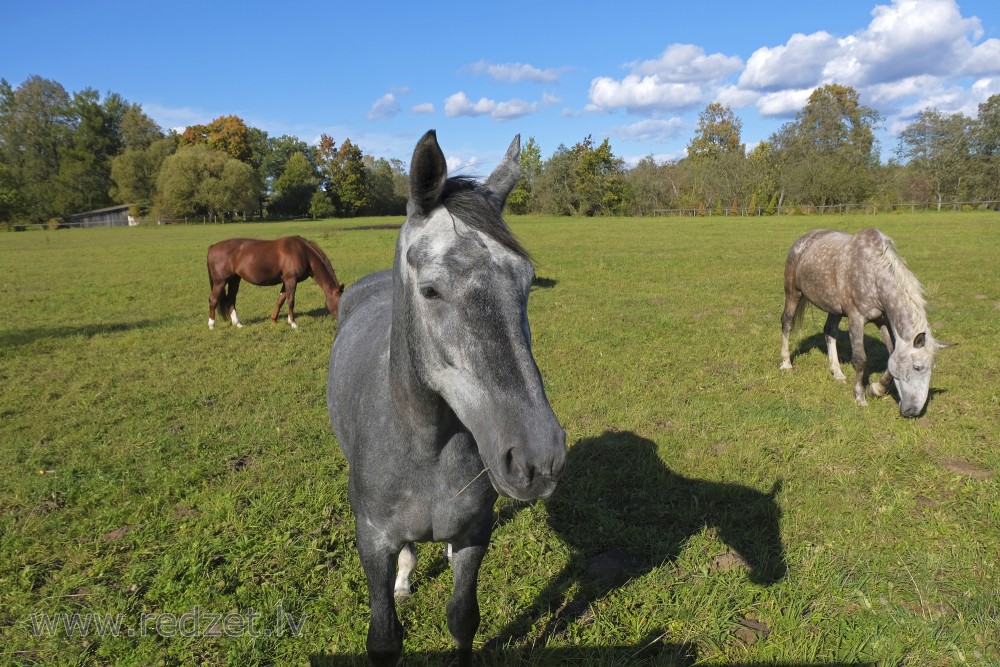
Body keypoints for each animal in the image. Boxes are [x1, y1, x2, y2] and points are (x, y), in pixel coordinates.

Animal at [206, 236, 344, 330]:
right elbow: (290, 301)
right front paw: (293, 323)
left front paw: (274, 320)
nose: (340, 323)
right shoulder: (290, 280)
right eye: (339, 303)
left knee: (231, 299)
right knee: (213, 299)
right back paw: (211, 325)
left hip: (235, 279)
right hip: (220, 281)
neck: (303, 252)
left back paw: (238, 323)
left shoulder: (286, 282)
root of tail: (213, 247)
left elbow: (280, 300)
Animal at [326, 129, 568, 664]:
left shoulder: (475, 535)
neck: (427, 448)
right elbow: (384, 638)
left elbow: (462, 618)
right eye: (431, 291)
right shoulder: (372, 541)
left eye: (526, 284)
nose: (538, 460)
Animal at [776, 230, 948, 418]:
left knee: (830, 331)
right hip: (793, 293)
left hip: (834, 308)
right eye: (917, 367)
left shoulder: (882, 320)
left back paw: (837, 372)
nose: (912, 411)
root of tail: (803, 239)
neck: (873, 275)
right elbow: (860, 359)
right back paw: (786, 363)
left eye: (932, 368)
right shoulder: (856, 319)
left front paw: (876, 389)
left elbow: (891, 355)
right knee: (787, 323)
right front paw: (860, 396)